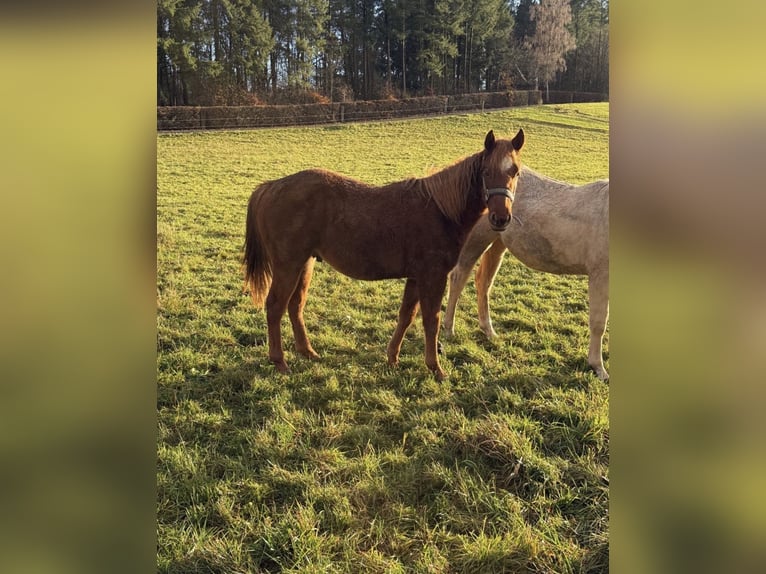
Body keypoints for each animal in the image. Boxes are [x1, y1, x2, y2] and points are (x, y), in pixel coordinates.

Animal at [243, 129, 525, 380]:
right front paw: (435, 368)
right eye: (486, 172)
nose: (501, 218)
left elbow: (406, 316)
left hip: (305, 263)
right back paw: (280, 362)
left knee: (295, 305)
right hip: (287, 265)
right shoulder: (432, 276)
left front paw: (392, 357)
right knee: (275, 306)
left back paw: (308, 352)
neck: (440, 210)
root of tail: (270, 187)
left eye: (515, 171)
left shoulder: (416, 277)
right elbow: (430, 320)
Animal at [442, 167, 609, 380]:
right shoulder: (599, 274)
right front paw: (598, 367)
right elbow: (598, 322)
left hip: (498, 241)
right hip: (476, 239)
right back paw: (449, 329)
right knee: (458, 277)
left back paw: (489, 331)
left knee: (483, 282)